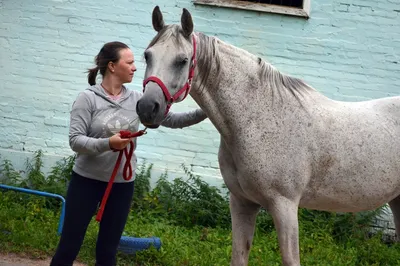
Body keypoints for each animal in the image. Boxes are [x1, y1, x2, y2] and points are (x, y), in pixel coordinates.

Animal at [136, 6, 400, 266]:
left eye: (182, 60)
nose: (148, 107)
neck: (257, 116)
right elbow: (239, 256)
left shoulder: (285, 206)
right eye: (147, 55)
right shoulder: (241, 202)